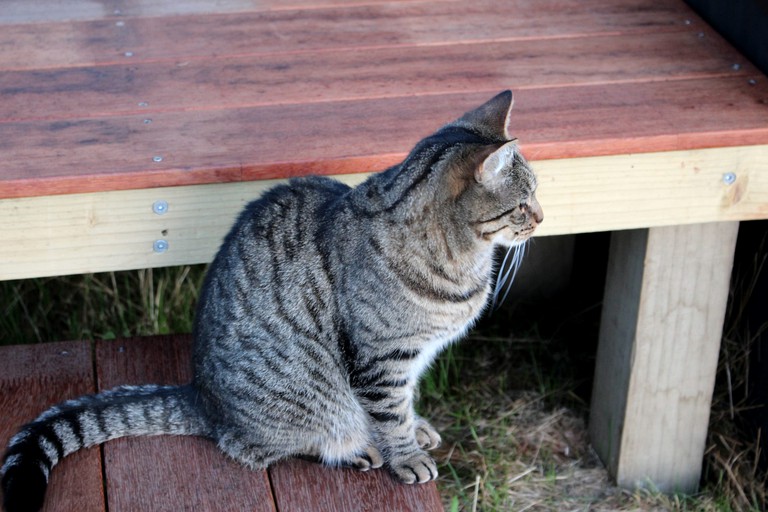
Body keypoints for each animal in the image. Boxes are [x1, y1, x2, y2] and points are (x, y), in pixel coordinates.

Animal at [1, 91, 540, 512]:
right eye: (521, 204)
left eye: (536, 195)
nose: (541, 216)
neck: (462, 261)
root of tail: (201, 397)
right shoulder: (382, 360)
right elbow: (390, 413)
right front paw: (404, 455)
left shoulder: (411, 360)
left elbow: (406, 405)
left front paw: (417, 427)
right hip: (297, 406)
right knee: (253, 446)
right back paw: (351, 449)